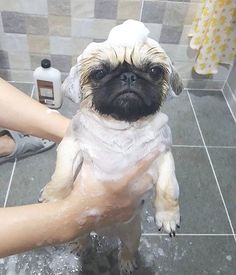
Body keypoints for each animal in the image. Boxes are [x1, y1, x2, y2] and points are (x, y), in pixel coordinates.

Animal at [39, 20, 183, 274]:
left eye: (155, 71)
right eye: (99, 73)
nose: (128, 76)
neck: (122, 126)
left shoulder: (163, 156)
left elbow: (168, 189)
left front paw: (168, 216)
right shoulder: (72, 146)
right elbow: (62, 175)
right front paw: (53, 197)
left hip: (133, 233)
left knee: (127, 247)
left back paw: (125, 261)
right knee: (84, 237)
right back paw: (81, 245)